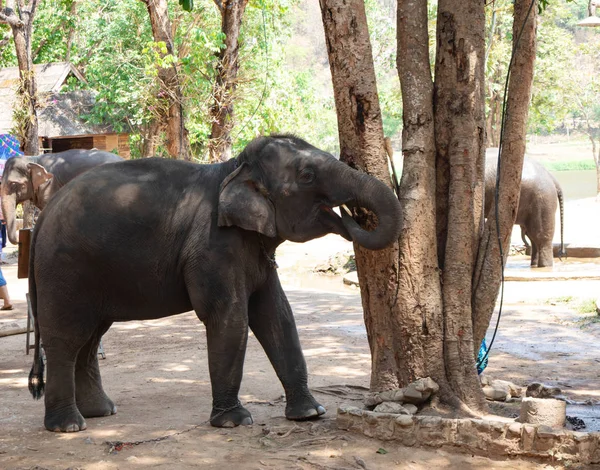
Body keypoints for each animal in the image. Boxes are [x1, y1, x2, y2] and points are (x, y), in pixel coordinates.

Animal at [28, 135, 404, 434]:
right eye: (307, 176)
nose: (350, 216)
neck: (234, 168)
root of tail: (43, 216)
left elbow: (278, 315)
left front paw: (310, 413)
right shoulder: (214, 245)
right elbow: (229, 316)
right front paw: (235, 422)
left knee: (91, 337)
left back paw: (100, 412)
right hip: (64, 269)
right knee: (67, 337)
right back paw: (69, 426)